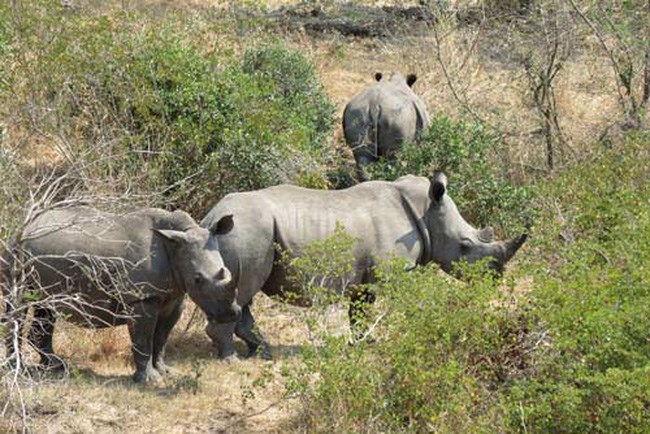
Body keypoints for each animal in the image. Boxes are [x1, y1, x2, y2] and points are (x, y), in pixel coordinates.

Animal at [2, 207, 235, 384]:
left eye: (227, 271)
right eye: (197, 279)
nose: (229, 315)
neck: (175, 244)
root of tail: (21, 228)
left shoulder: (174, 295)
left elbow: (161, 337)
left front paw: (166, 372)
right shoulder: (142, 297)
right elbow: (144, 339)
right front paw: (149, 380)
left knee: (46, 309)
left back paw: (55, 366)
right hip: (16, 255)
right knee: (18, 307)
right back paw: (18, 369)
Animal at [200, 172, 524, 360]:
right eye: (465, 246)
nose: (495, 279)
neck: (426, 211)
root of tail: (209, 217)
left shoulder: (366, 278)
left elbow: (359, 312)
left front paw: (363, 343)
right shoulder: (394, 273)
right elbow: (409, 305)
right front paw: (423, 333)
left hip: (243, 235)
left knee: (241, 296)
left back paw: (261, 351)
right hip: (246, 233)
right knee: (242, 292)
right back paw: (235, 356)